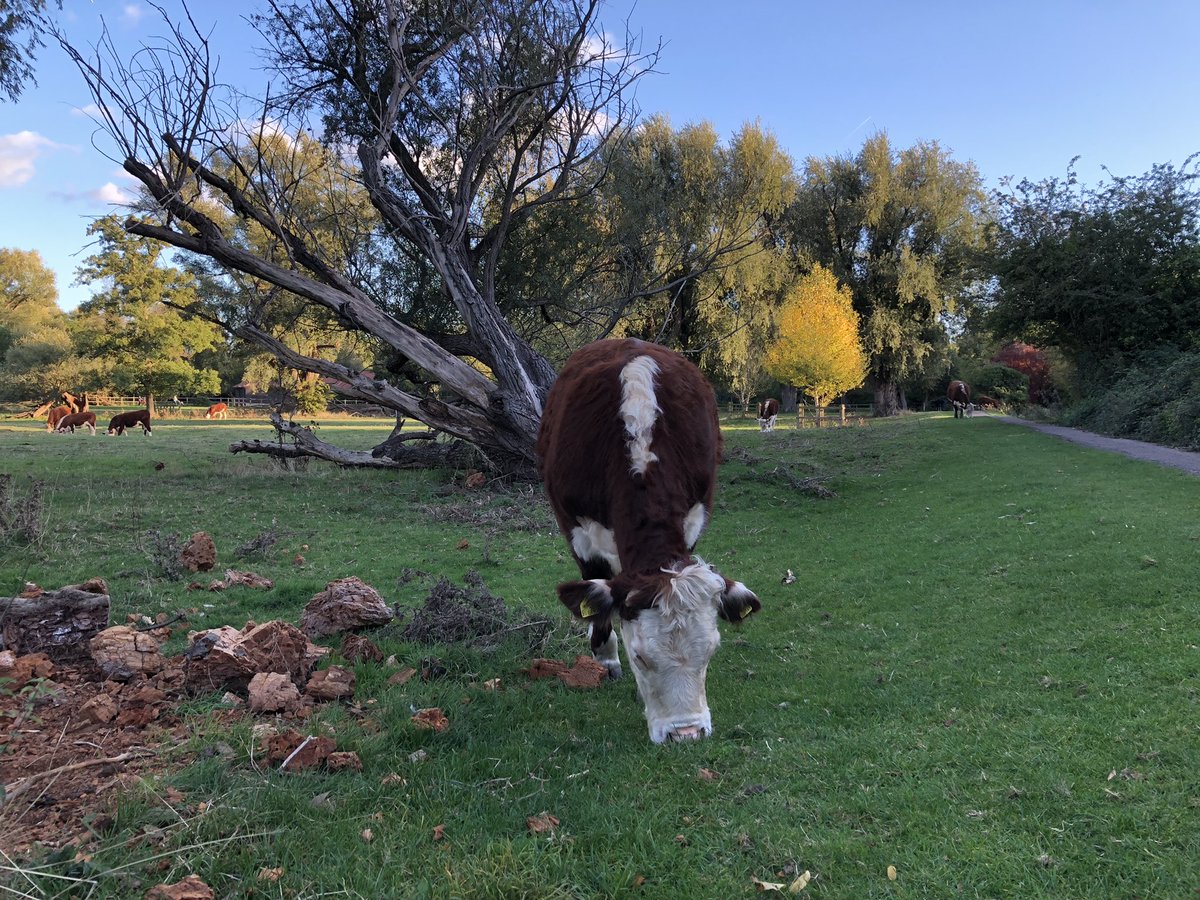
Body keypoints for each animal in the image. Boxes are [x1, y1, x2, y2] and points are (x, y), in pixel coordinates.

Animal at [537, 339, 761, 744]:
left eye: (711, 652)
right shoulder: (578, 531)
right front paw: (605, 658)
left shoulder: (693, 520)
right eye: (639, 657)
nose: (686, 733)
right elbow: (598, 598)